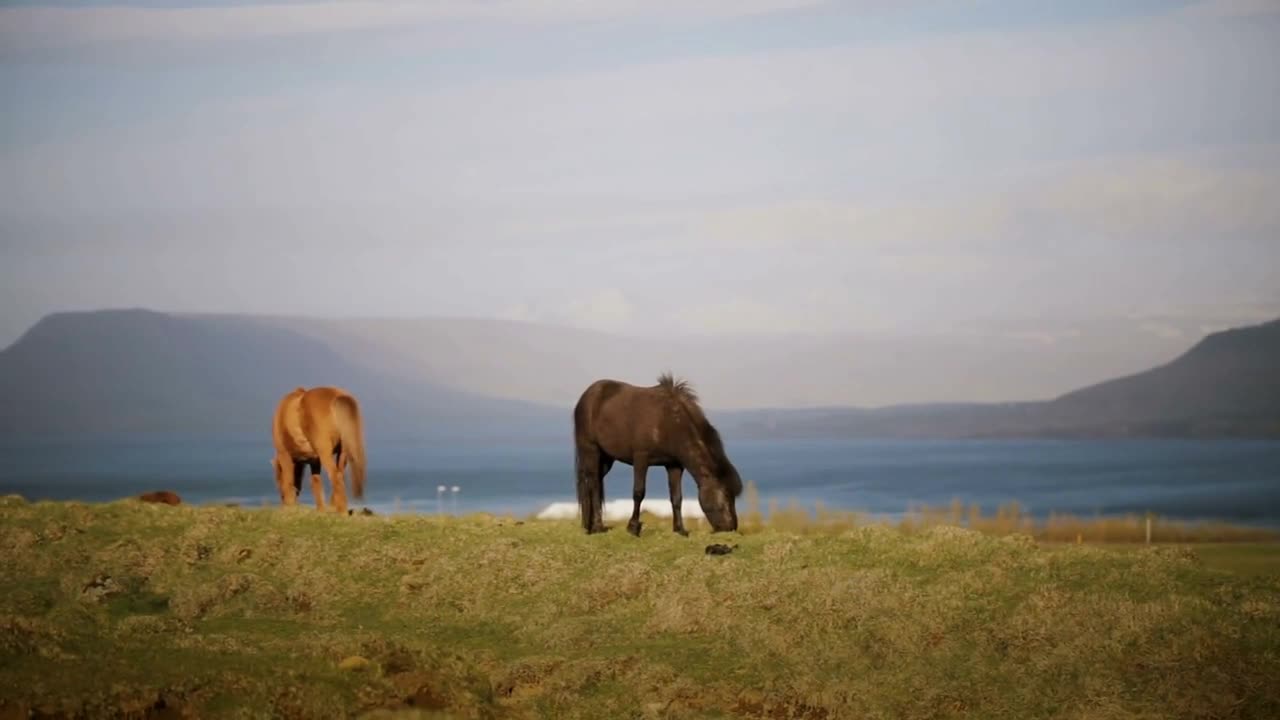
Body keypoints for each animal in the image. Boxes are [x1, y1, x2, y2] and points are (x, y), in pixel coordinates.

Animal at [271, 384, 368, 512]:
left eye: (277, 480)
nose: (282, 504)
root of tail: (338, 396)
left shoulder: (285, 455)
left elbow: (289, 482)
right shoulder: (314, 461)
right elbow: (316, 484)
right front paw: (320, 511)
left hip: (325, 453)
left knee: (336, 477)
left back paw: (341, 512)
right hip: (343, 453)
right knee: (340, 475)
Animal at [570, 368, 742, 532]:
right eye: (725, 496)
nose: (731, 527)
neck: (669, 421)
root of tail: (586, 397)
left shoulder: (674, 465)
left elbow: (676, 497)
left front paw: (680, 529)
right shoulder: (641, 458)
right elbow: (639, 492)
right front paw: (633, 527)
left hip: (606, 458)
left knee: (596, 481)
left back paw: (590, 524)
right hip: (591, 450)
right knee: (593, 483)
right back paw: (597, 527)